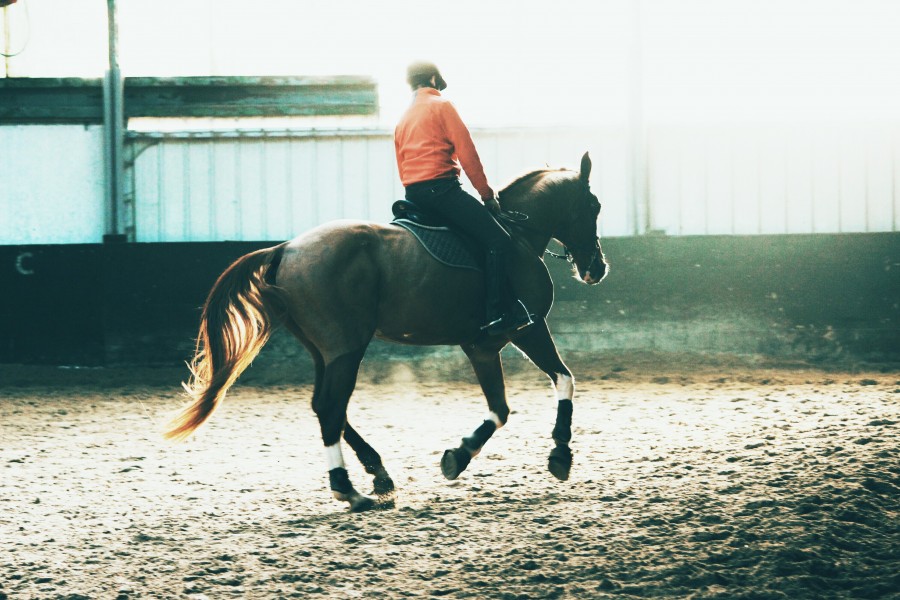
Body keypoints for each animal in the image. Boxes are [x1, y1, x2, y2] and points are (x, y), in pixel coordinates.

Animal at [165, 151, 608, 510]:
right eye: (593, 205)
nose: (597, 268)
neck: (517, 237)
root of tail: (285, 249)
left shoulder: (484, 345)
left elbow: (508, 405)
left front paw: (464, 456)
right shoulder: (520, 331)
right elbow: (553, 385)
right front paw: (556, 454)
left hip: (324, 351)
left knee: (326, 407)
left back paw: (377, 474)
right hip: (346, 348)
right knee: (330, 407)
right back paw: (349, 490)